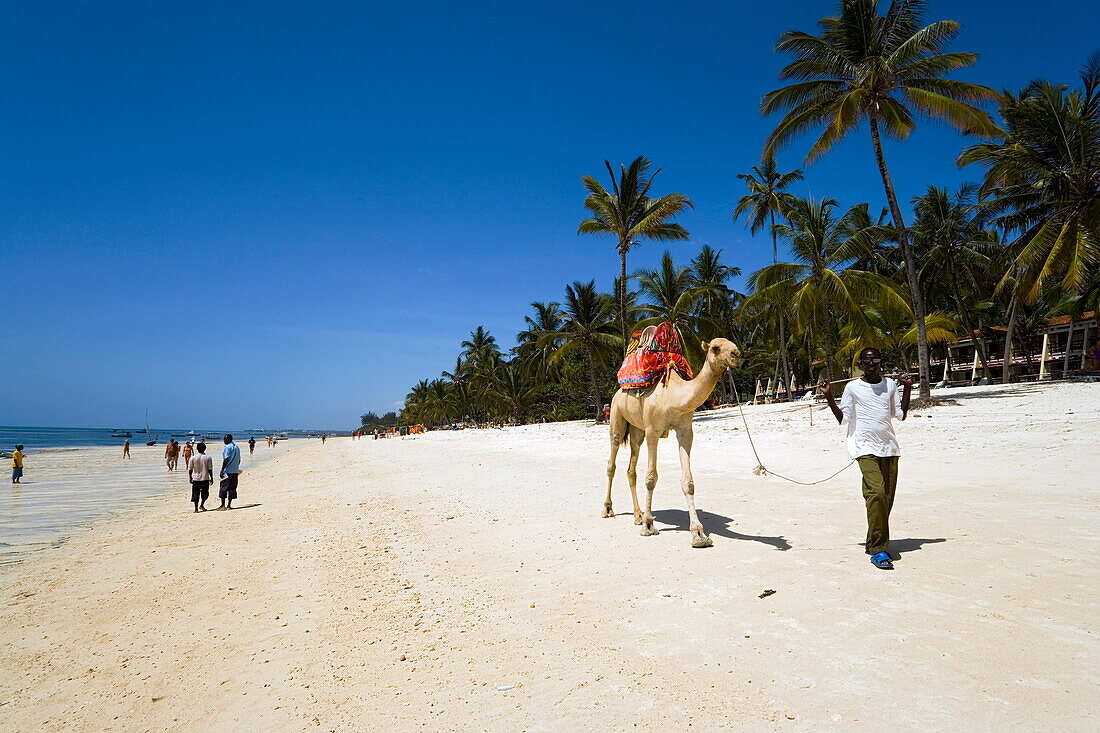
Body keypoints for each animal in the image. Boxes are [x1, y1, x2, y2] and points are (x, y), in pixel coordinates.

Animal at [607, 334, 743, 541]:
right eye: (715, 348)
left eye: (733, 345)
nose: (737, 355)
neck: (673, 396)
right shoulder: (653, 430)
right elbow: (651, 478)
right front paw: (649, 526)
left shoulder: (685, 430)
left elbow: (688, 481)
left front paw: (698, 534)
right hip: (616, 415)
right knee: (612, 461)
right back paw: (608, 510)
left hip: (637, 431)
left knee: (631, 469)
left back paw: (638, 515)